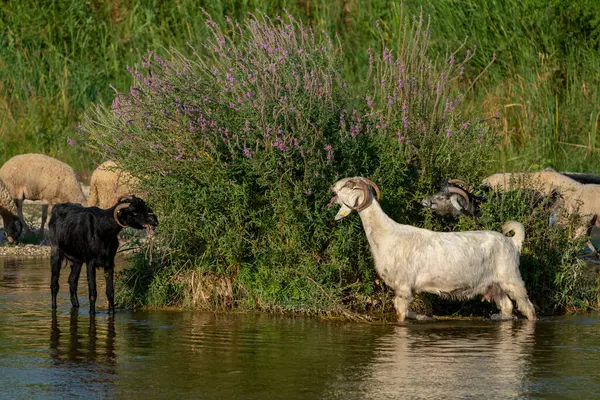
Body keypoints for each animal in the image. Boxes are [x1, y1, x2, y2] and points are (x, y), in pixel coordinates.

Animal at [330, 177, 536, 322]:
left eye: (348, 184)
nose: (332, 187)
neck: (388, 235)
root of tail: (513, 242)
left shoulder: (404, 287)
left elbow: (400, 314)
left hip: (512, 279)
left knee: (529, 308)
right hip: (495, 285)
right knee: (507, 307)